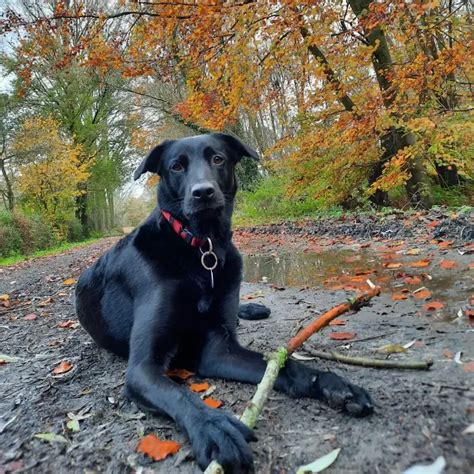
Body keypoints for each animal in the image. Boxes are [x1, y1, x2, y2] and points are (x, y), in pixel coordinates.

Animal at [76, 132, 374, 470]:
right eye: (176, 166)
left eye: (217, 159)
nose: (203, 192)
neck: (201, 247)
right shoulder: (142, 368)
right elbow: (180, 394)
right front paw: (214, 428)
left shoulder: (219, 348)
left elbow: (285, 366)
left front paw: (333, 383)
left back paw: (253, 308)